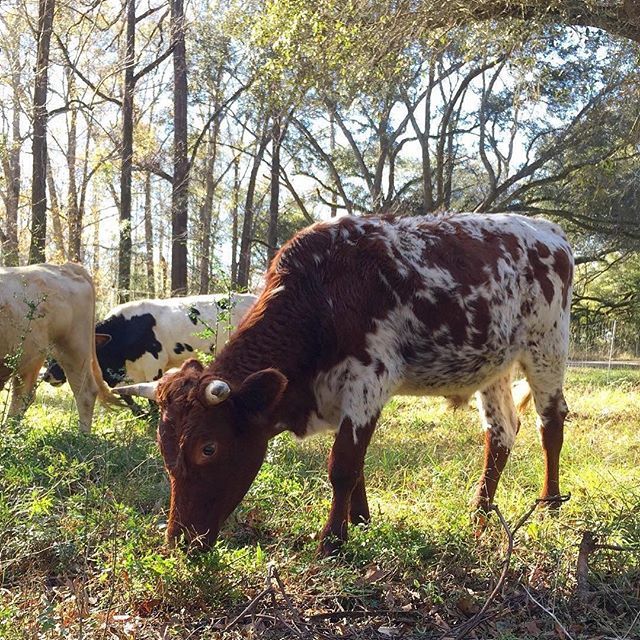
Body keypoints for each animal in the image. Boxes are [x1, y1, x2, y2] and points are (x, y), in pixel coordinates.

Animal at [0, 262, 118, 432]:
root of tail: (64, 267)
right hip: (32, 356)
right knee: (22, 395)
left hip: (73, 347)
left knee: (85, 391)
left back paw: (82, 435)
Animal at [117, 215, 572, 556]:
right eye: (164, 448)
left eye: (208, 448)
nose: (179, 543)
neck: (322, 294)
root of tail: (548, 231)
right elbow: (357, 466)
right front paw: (361, 522)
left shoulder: (369, 380)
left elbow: (342, 465)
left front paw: (332, 541)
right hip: (494, 366)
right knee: (501, 434)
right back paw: (480, 513)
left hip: (547, 346)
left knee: (551, 423)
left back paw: (550, 505)